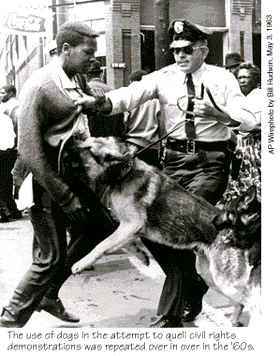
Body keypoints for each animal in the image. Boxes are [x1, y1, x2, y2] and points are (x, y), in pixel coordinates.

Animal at [65, 138, 260, 326]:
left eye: (87, 147)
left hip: (224, 279)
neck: (124, 172)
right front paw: (141, 255)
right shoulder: (125, 226)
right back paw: (231, 320)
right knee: (239, 301)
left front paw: (81, 263)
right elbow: (124, 244)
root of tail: (238, 229)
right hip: (210, 275)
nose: (67, 143)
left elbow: (101, 245)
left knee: (250, 301)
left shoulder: (131, 224)